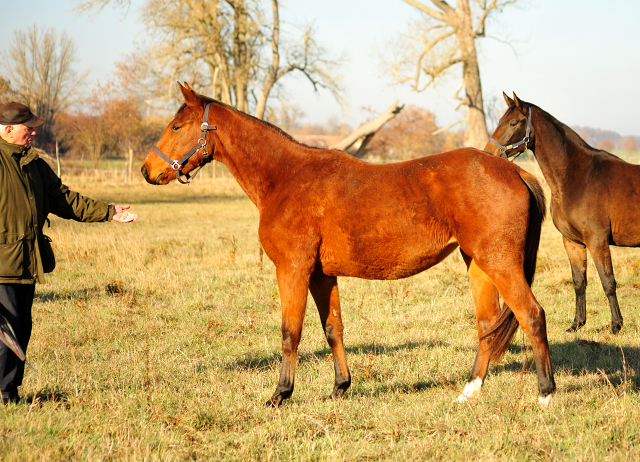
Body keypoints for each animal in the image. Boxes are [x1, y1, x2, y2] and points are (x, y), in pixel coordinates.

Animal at [141, 82, 556, 404]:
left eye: (176, 125)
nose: (148, 170)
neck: (287, 177)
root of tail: (515, 170)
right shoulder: (322, 275)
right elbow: (333, 329)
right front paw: (340, 386)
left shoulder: (293, 270)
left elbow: (290, 333)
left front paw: (281, 394)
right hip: (480, 264)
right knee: (488, 325)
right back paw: (469, 392)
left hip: (500, 263)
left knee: (532, 315)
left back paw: (545, 393)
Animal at [488, 92, 632, 334]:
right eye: (500, 120)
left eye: (514, 122)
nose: (489, 152)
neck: (579, 177)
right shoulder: (572, 242)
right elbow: (579, 282)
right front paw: (577, 324)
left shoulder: (597, 241)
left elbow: (608, 282)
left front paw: (615, 325)